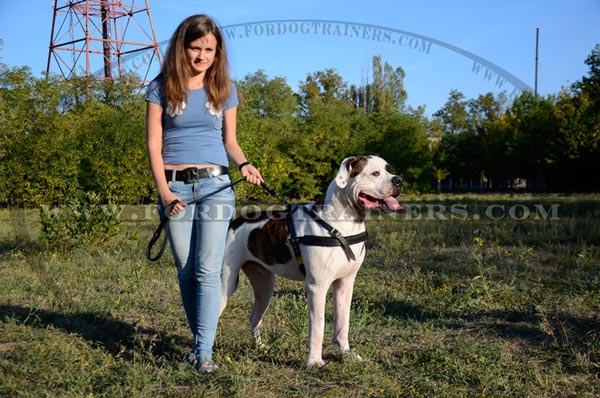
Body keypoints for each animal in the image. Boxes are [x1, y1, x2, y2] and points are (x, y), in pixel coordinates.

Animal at [219, 155, 404, 366]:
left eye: (389, 170)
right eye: (375, 173)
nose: (398, 180)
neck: (341, 223)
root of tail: (235, 222)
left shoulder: (345, 284)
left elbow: (343, 323)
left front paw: (346, 353)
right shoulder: (317, 286)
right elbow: (318, 326)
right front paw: (314, 362)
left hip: (264, 285)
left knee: (254, 317)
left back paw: (261, 348)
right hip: (225, 282)